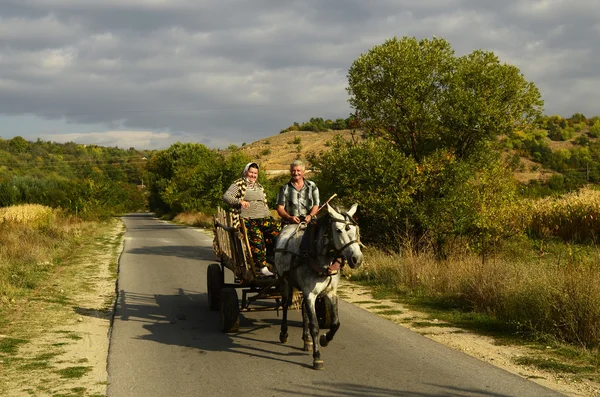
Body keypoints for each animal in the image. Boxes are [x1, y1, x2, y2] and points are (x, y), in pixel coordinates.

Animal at [274, 203, 364, 370]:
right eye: (339, 230)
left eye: (356, 229)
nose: (357, 259)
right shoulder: (310, 294)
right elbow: (314, 325)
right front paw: (317, 357)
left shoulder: (330, 293)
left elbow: (335, 323)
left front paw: (324, 339)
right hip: (284, 281)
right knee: (285, 304)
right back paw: (284, 333)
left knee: (303, 310)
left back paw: (306, 340)